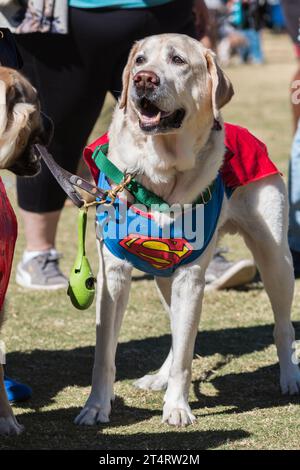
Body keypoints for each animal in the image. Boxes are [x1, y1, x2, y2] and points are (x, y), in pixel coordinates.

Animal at [75, 35, 300, 428]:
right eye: (139, 60)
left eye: (178, 60)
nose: (144, 80)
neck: (160, 176)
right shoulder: (112, 273)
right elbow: (105, 353)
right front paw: (96, 407)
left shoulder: (191, 276)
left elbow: (185, 353)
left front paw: (177, 407)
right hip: (164, 276)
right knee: (175, 330)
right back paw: (159, 377)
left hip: (275, 258)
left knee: (282, 326)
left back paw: (289, 377)